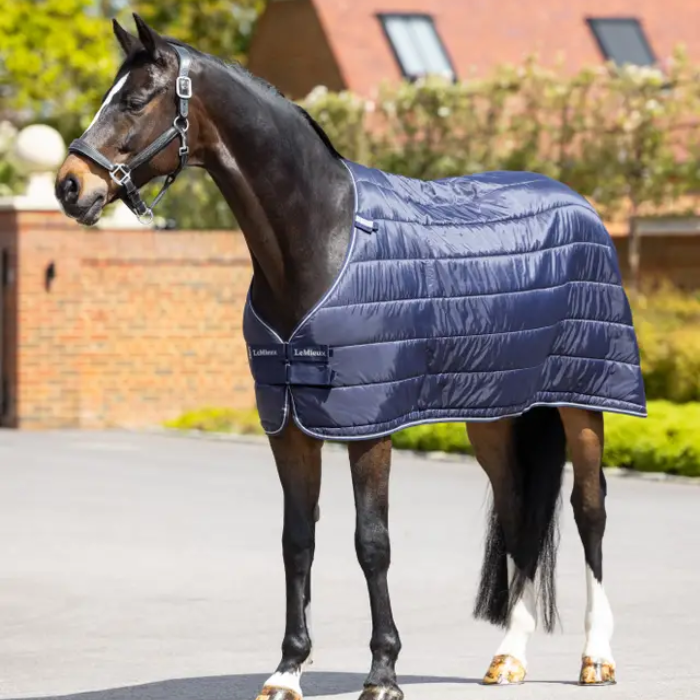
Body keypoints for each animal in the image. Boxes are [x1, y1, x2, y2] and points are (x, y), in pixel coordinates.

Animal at [55, 15, 646, 698]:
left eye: (135, 99)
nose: (69, 186)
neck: (321, 238)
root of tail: (575, 200)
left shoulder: (369, 427)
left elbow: (372, 543)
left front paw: (383, 671)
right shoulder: (289, 425)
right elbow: (297, 542)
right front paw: (287, 670)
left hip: (584, 401)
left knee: (589, 509)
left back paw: (595, 657)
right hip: (496, 414)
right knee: (519, 509)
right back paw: (508, 659)